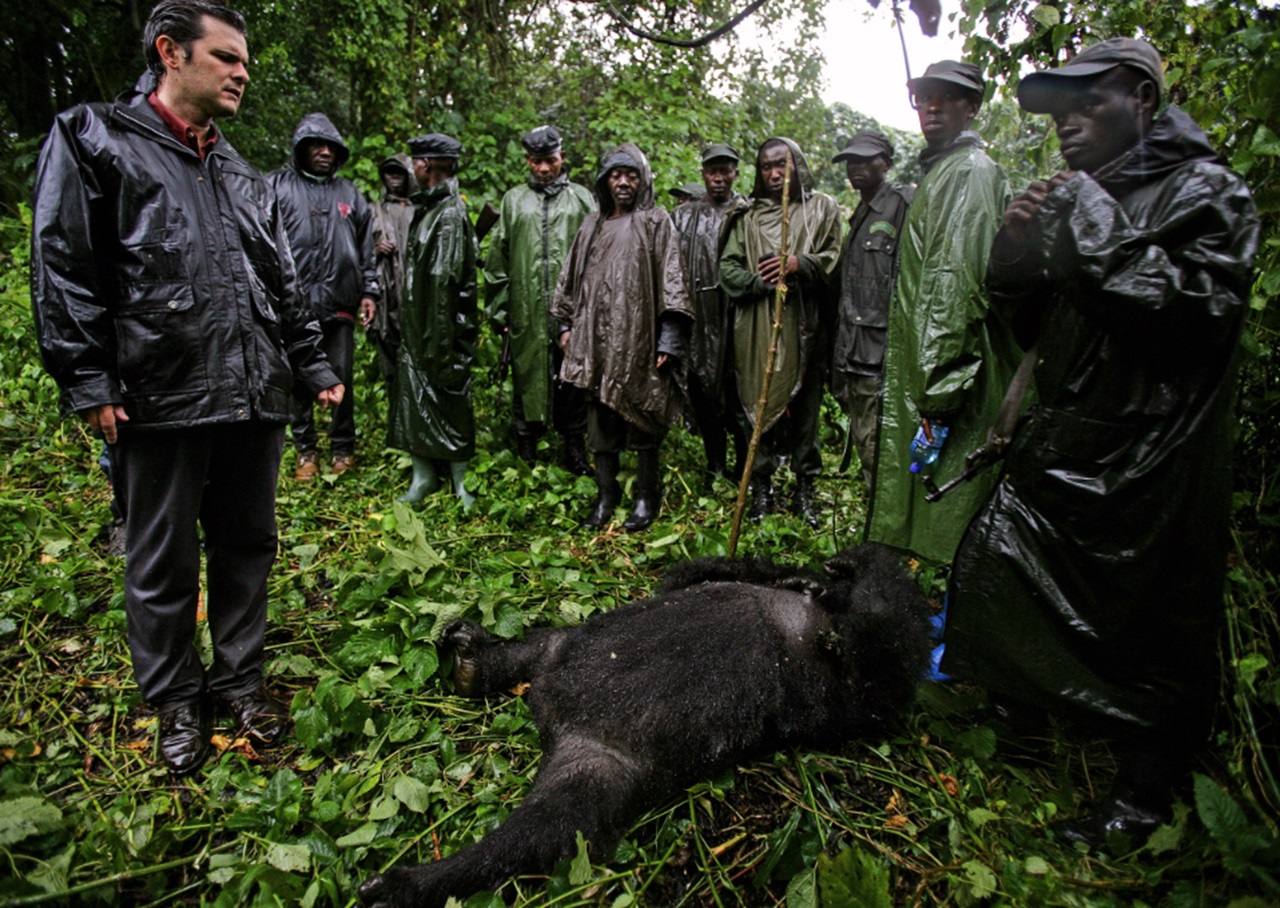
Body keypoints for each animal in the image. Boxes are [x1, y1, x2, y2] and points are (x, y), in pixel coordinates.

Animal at [355, 543, 926, 901]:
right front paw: (806, 576)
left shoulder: (866, 685)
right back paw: (481, 661)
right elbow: (688, 574)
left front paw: (839, 573)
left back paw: (420, 883)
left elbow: (883, 656)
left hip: (600, 762)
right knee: (543, 649)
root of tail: (550, 710)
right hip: (566, 652)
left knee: (549, 827)